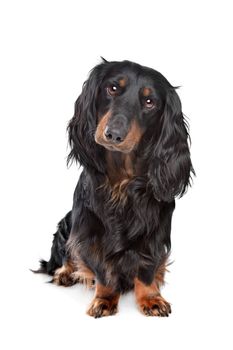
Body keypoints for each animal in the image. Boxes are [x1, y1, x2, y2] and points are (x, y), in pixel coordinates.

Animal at [33, 59, 194, 318]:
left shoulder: (155, 234)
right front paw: (105, 299)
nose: (113, 134)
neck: (122, 182)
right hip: (67, 223)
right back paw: (65, 273)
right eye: (113, 88)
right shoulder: (91, 233)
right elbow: (103, 271)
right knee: (65, 254)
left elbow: (147, 269)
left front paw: (151, 298)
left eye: (149, 102)